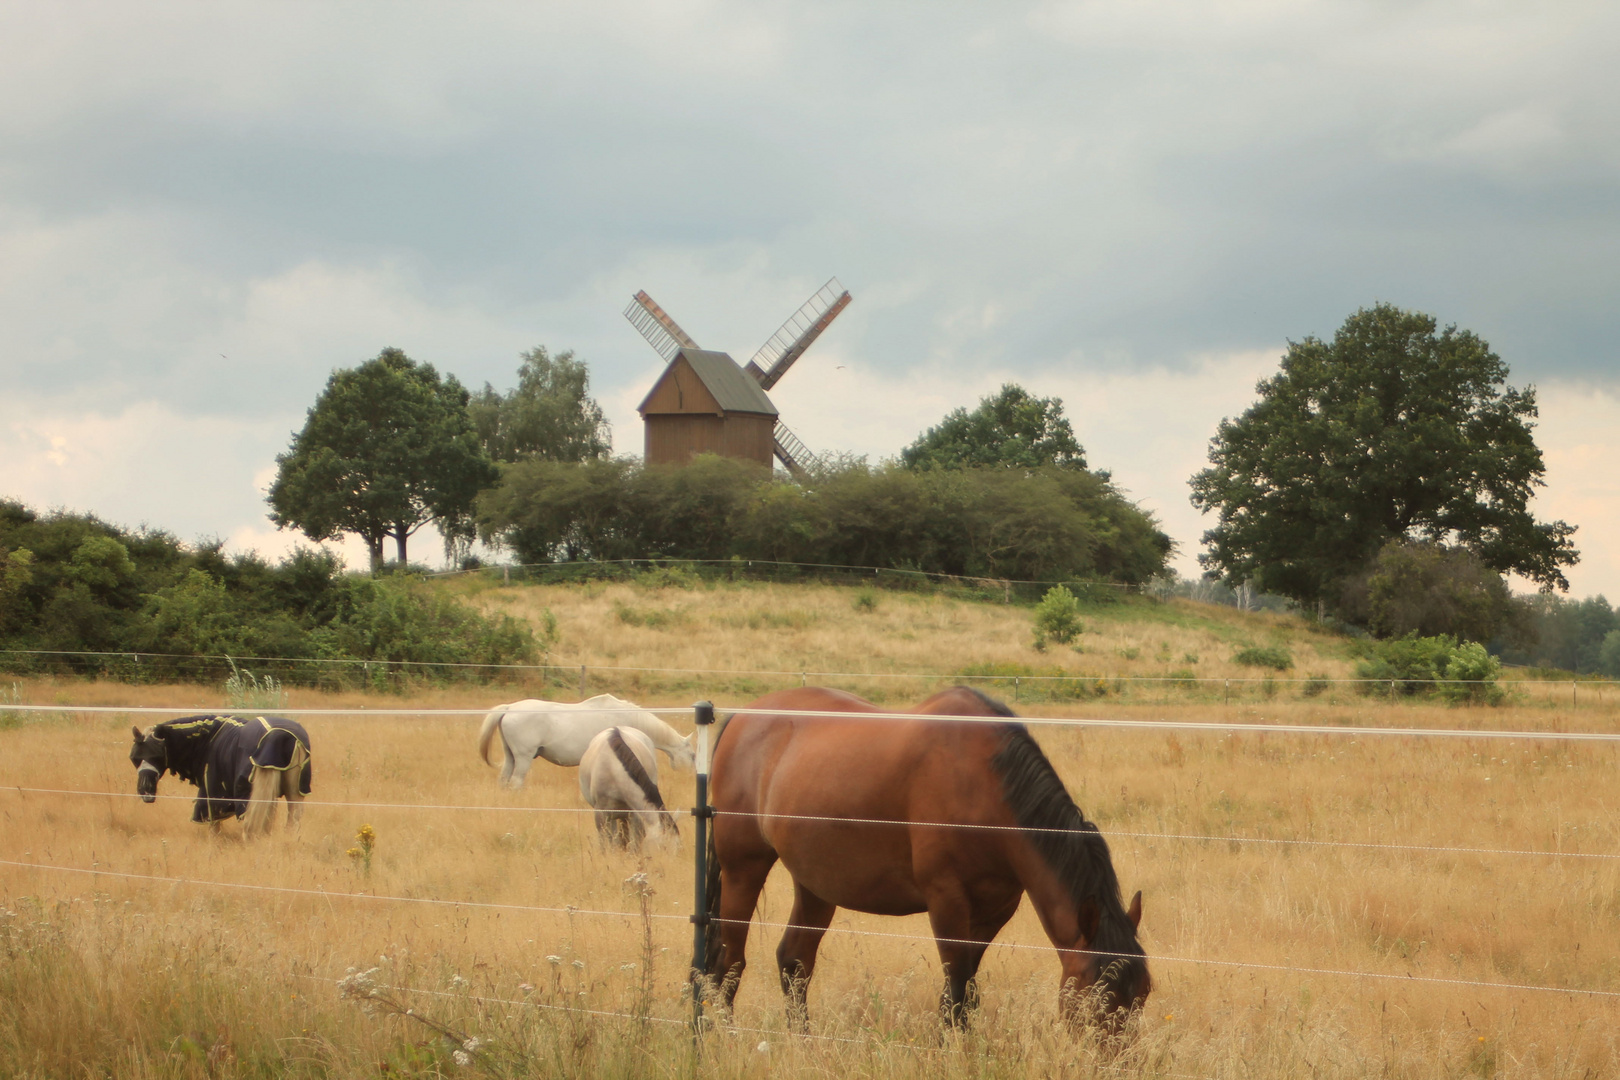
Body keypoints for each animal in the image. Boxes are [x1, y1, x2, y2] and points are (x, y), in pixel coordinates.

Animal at [129, 712, 312, 841]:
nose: (146, 792)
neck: (210, 738)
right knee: (292, 823)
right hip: (295, 793)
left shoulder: (212, 797)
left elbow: (214, 829)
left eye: (157, 755)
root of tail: (280, 735)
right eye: (135, 758)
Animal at [473, 696, 690, 790]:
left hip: (510, 756)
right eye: (692, 755)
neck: (628, 719)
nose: (689, 776)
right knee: (516, 782)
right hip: (523, 758)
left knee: (504, 780)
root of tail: (509, 708)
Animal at [576, 725, 677, 854]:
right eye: (664, 847)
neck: (613, 769)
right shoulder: (601, 814)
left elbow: (634, 844)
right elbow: (605, 842)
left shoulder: (634, 815)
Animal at [703, 689, 1146, 1036]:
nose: (1119, 1065)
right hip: (743, 869)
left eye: (1141, 996)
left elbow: (966, 990)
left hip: (815, 882)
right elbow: (957, 990)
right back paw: (724, 1037)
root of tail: (742, 717)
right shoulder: (946, 901)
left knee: (794, 962)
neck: (985, 784)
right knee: (729, 961)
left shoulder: (993, 910)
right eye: (1099, 997)